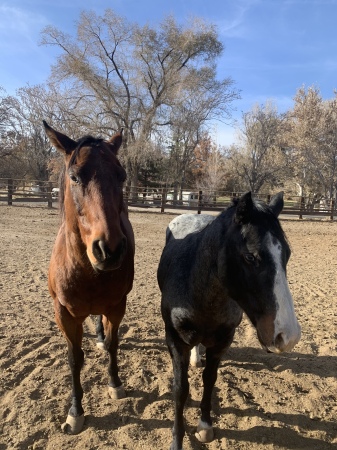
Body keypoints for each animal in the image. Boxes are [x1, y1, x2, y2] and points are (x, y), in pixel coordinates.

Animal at [43, 121, 134, 434]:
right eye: (74, 177)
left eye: (121, 176)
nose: (110, 249)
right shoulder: (64, 314)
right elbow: (74, 359)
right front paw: (75, 411)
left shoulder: (117, 306)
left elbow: (113, 343)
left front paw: (115, 383)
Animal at [157, 192, 300, 448]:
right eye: (250, 256)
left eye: (287, 254)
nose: (288, 336)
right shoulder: (174, 340)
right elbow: (180, 389)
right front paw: (177, 439)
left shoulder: (222, 342)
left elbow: (209, 379)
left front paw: (205, 426)